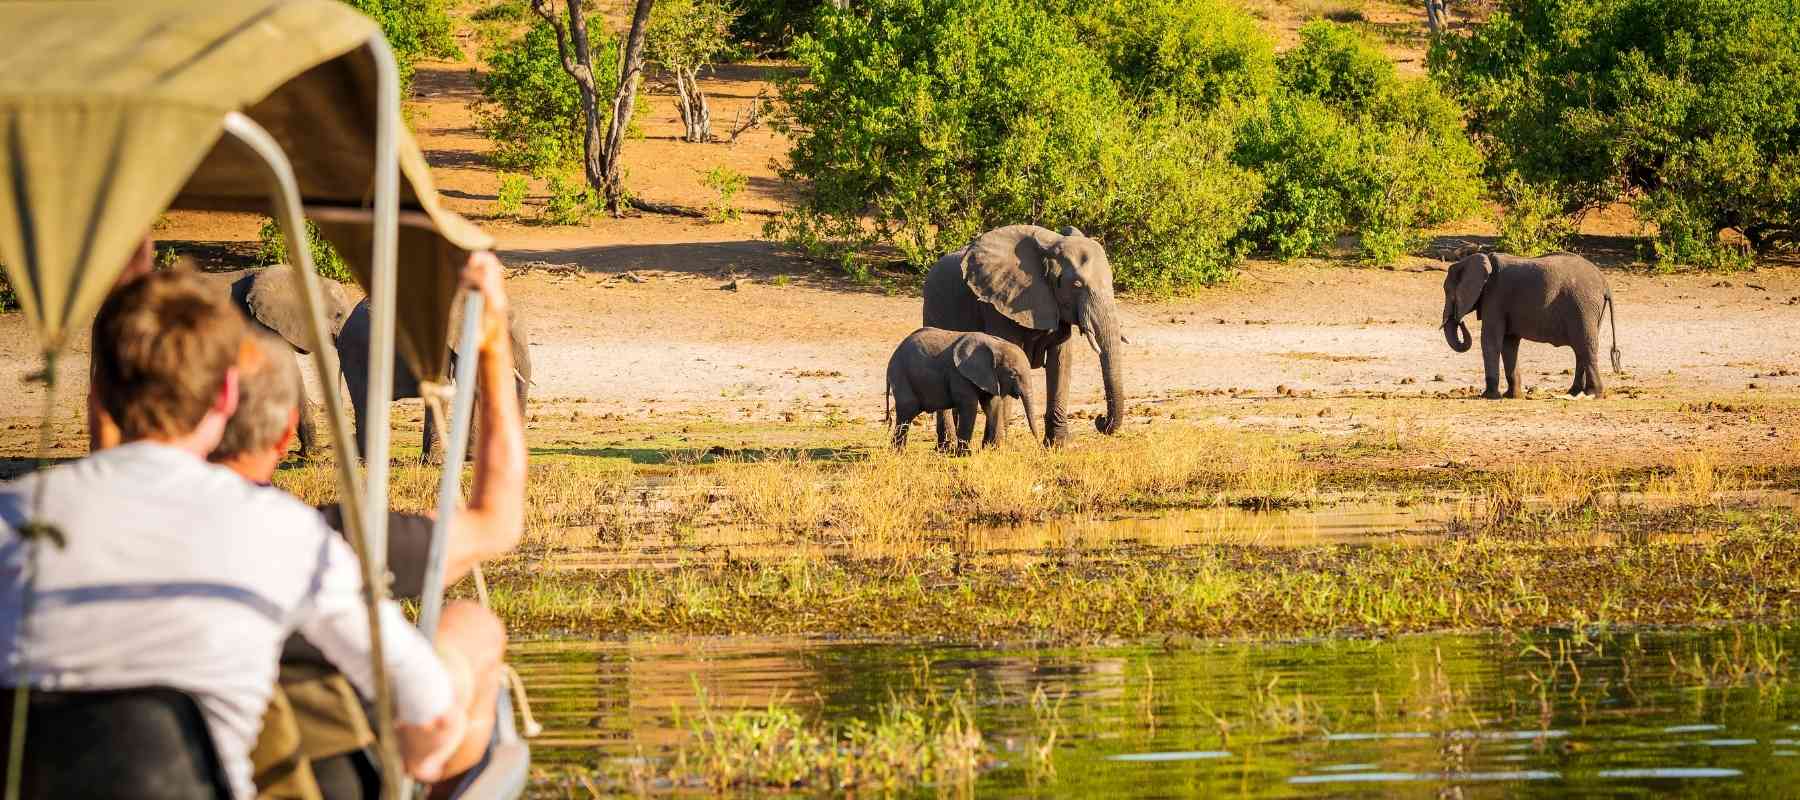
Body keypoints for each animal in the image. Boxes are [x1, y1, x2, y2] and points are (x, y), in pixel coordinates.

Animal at [885, 324, 1044, 450]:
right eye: (1013, 374)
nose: (1038, 444)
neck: (995, 345)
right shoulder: (959, 375)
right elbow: (969, 406)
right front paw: (964, 455)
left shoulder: (989, 376)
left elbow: (991, 405)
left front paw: (994, 451)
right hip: (902, 374)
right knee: (907, 411)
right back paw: (898, 453)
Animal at [928, 223, 1123, 443]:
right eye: (1076, 285)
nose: (1100, 420)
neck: (1049, 245)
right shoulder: (998, 302)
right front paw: (997, 446)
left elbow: (1060, 361)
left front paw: (1058, 445)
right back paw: (948, 446)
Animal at [1440, 252, 1627, 398]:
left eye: (1448, 291)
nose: (1460, 320)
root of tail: (1605, 284)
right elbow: (1509, 344)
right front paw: (1512, 396)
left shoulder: (1495, 298)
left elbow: (1490, 340)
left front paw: (1488, 396)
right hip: (1591, 311)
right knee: (1581, 349)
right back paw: (1574, 392)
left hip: (1584, 307)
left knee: (1585, 346)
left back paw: (1593, 394)